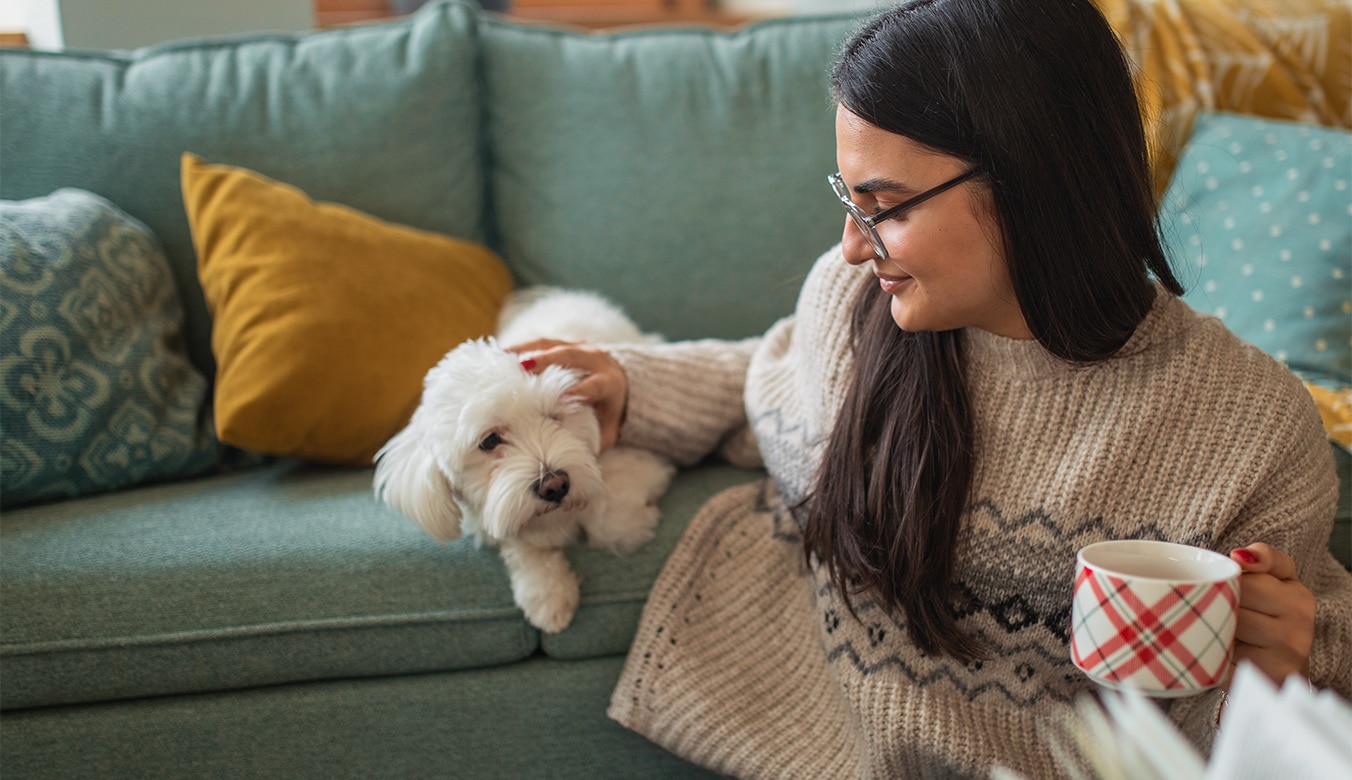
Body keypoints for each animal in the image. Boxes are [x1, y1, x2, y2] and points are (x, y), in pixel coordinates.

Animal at [373, 286, 673, 632]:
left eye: (555, 417)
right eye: (489, 440)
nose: (555, 485)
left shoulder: (634, 453)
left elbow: (608, 519)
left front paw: (634, 523)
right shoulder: (496, 511)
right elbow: (519, 541)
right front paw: (547, 593)